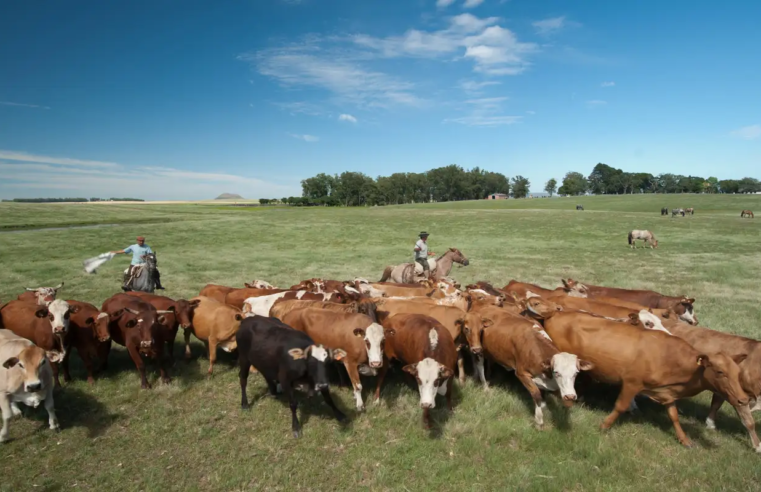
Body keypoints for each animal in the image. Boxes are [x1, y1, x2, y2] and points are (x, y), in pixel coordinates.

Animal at [544, 312, 756, 450]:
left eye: (737, 372)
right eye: (720, 372)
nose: (743, 400)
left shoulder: (667, 393)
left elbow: (674, 416)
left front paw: (684, 440)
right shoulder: (632, 383)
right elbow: (620, 406)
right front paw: (604, 425)